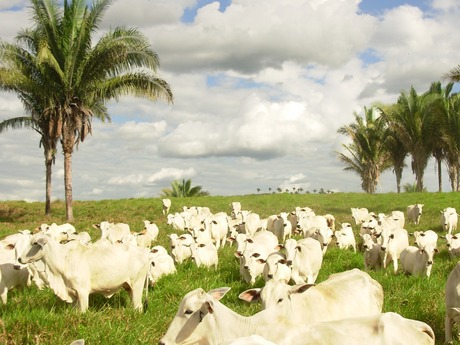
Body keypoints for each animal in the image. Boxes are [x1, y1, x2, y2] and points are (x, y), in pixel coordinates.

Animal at [16, 234, 148, 312]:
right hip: (129, 287)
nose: (19, 259)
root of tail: (146, 253)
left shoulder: (83, 291)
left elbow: (83, 311)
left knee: (138, 306)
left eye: (34, 243)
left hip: (137, 285)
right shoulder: (73, 293)